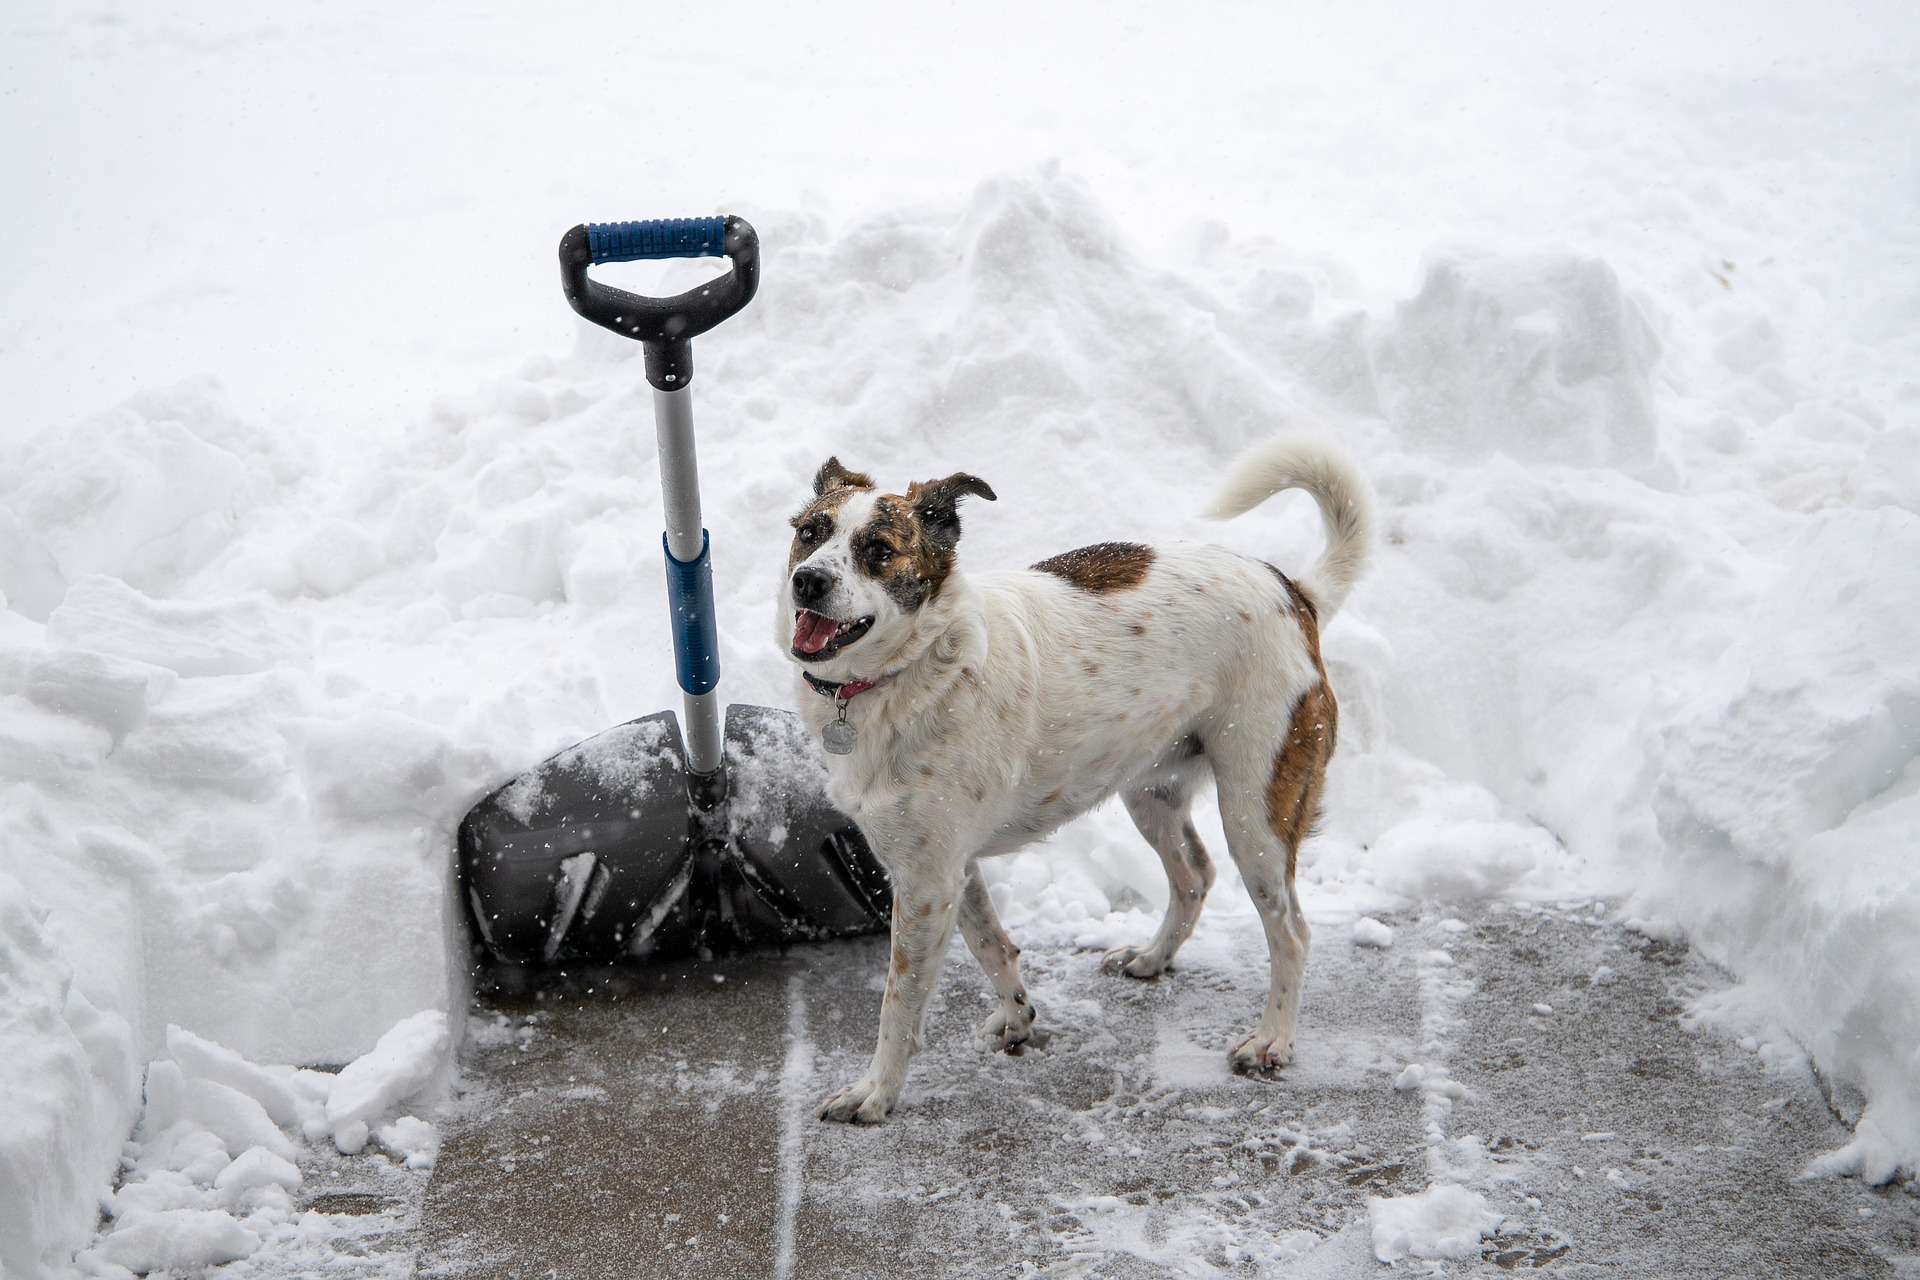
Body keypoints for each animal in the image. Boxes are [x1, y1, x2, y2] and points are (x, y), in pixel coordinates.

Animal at [771, 437, 1374, 1120]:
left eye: (878, 549)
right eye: (810, 532)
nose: (808, 580)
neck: (913, 668)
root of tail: (1294, 590)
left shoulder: (926, 882)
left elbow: (899, 1003)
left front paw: (876, 1092)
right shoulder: (949, 868)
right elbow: (990, 944)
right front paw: (1017, 1018)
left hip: (1257, 810)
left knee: (1291, 931)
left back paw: (1272, 1039)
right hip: (1151, 790)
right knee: (1194, 875)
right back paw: (1152, 958)